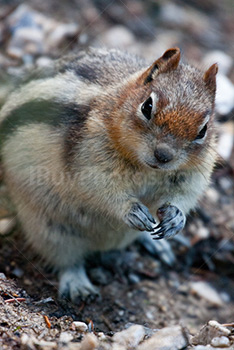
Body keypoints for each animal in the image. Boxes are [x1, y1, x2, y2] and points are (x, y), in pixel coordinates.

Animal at [0, 46, 218, 302]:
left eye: (203, 130)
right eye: (147, 106)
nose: (163, 155)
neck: (146, 168)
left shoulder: (194, 174)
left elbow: (185, 195)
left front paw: (176, 217)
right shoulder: (88, 161)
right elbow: (100, 189)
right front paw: (130, 210)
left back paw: (154, 244)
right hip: (50, 227)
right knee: (67, 259)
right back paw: (78, 285)